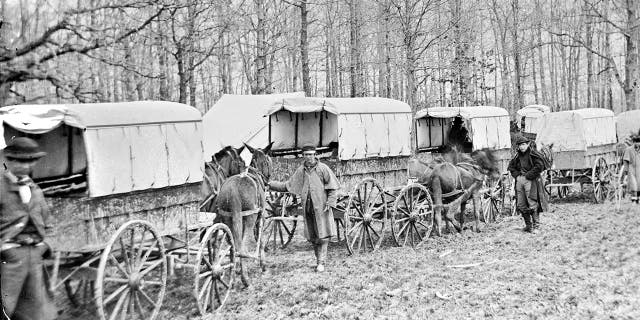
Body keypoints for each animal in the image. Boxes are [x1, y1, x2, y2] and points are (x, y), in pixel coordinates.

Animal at [212, 142, 272, 288]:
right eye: (268, 161)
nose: (268, 179)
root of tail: (232, 190)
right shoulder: (260, 218)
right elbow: (261, 241)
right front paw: (263, 265)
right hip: (249, 219)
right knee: (241, 247)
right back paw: (245, 279)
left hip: (228, 219)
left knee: (233, 246)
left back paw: (233, 275)